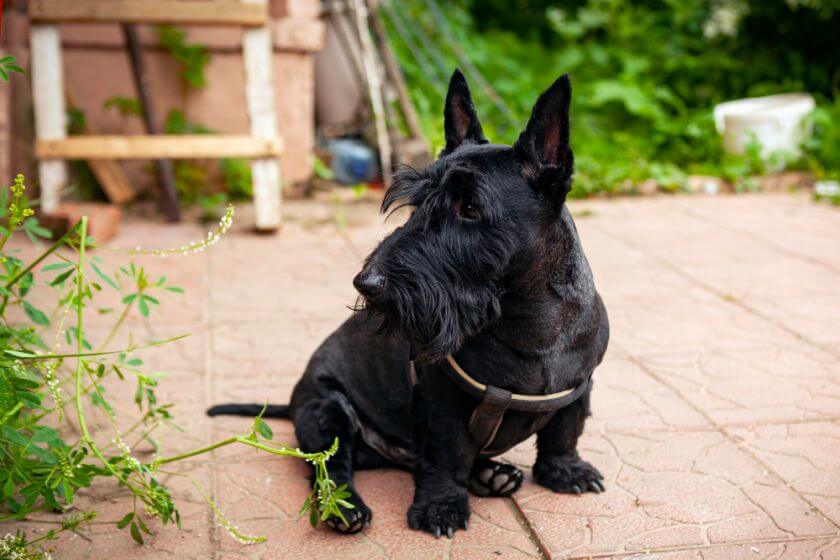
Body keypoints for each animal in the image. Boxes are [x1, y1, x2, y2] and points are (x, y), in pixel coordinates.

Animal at [207, 70, 608, 540]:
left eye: (469, 208)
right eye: (416, 204)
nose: (367, 283)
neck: (528, 325)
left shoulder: (579, 389)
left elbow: (564, 432)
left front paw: (565, 471)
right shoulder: (440, 405)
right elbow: (446, 456)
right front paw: (441, 506)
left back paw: (490, 475)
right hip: (326, 411)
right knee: (332, 466)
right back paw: (345, 508)